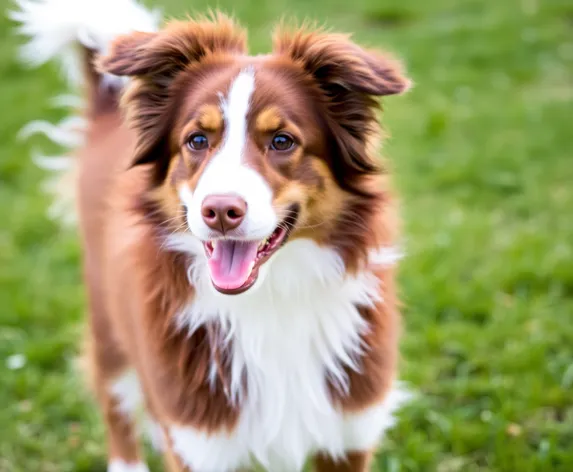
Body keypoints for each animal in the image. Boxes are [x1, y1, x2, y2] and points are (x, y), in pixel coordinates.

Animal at [12, 0, 412, 468]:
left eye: (282, 141)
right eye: (197, 140)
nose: (220, 211)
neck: (271, 303)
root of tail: (108, 112)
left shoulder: (349, 432)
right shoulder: (199, 439)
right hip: (108, 325)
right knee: (117, 409)